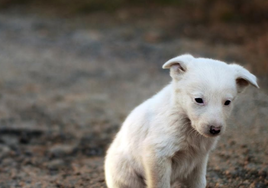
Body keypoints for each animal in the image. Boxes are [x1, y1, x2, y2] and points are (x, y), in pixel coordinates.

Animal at [105, 53, 260, 187]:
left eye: (227, 102)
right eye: (198, 100)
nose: (215, 130)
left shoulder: (199, 160)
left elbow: (199, 183)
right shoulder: (157, 155)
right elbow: (160, 184)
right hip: (126, 176)